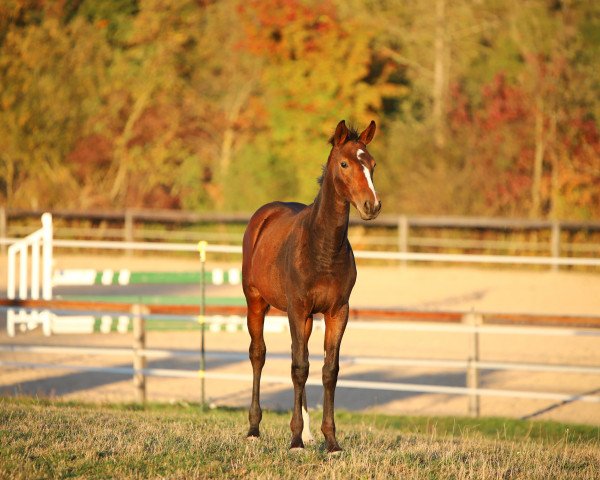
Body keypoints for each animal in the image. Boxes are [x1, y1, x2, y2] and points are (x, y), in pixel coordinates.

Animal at [243, 120, 380, 454]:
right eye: (344, 164)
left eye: (372, 164)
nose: (372, 205)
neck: (322, 247)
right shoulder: (298, 307)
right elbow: (298, 367)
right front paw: (294, 441)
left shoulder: (337, 311)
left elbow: (328, 370)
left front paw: (330, 441)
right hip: (256, 302)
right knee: (259, 354)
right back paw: (254, 429)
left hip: (304, 318)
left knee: (299, 353)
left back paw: (306, 433)